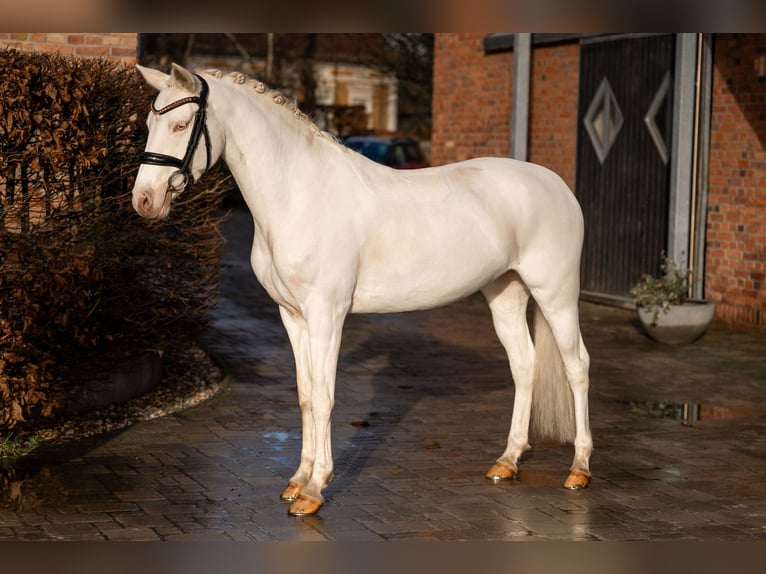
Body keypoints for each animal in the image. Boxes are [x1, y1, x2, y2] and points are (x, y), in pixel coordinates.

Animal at [130, 63, 592, 516]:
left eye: (181, 124)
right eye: (150, 122)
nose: (144, 200)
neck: (299, 193)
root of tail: (556, 184)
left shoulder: (327, 314)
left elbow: (325, 396)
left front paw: (315, 489)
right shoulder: (292, 316)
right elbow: (304, 394)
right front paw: (296, 480)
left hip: (556, 294)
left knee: (577, 367)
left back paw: (579, 469)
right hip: (506, 295)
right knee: (525, 365)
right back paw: (508, 461)